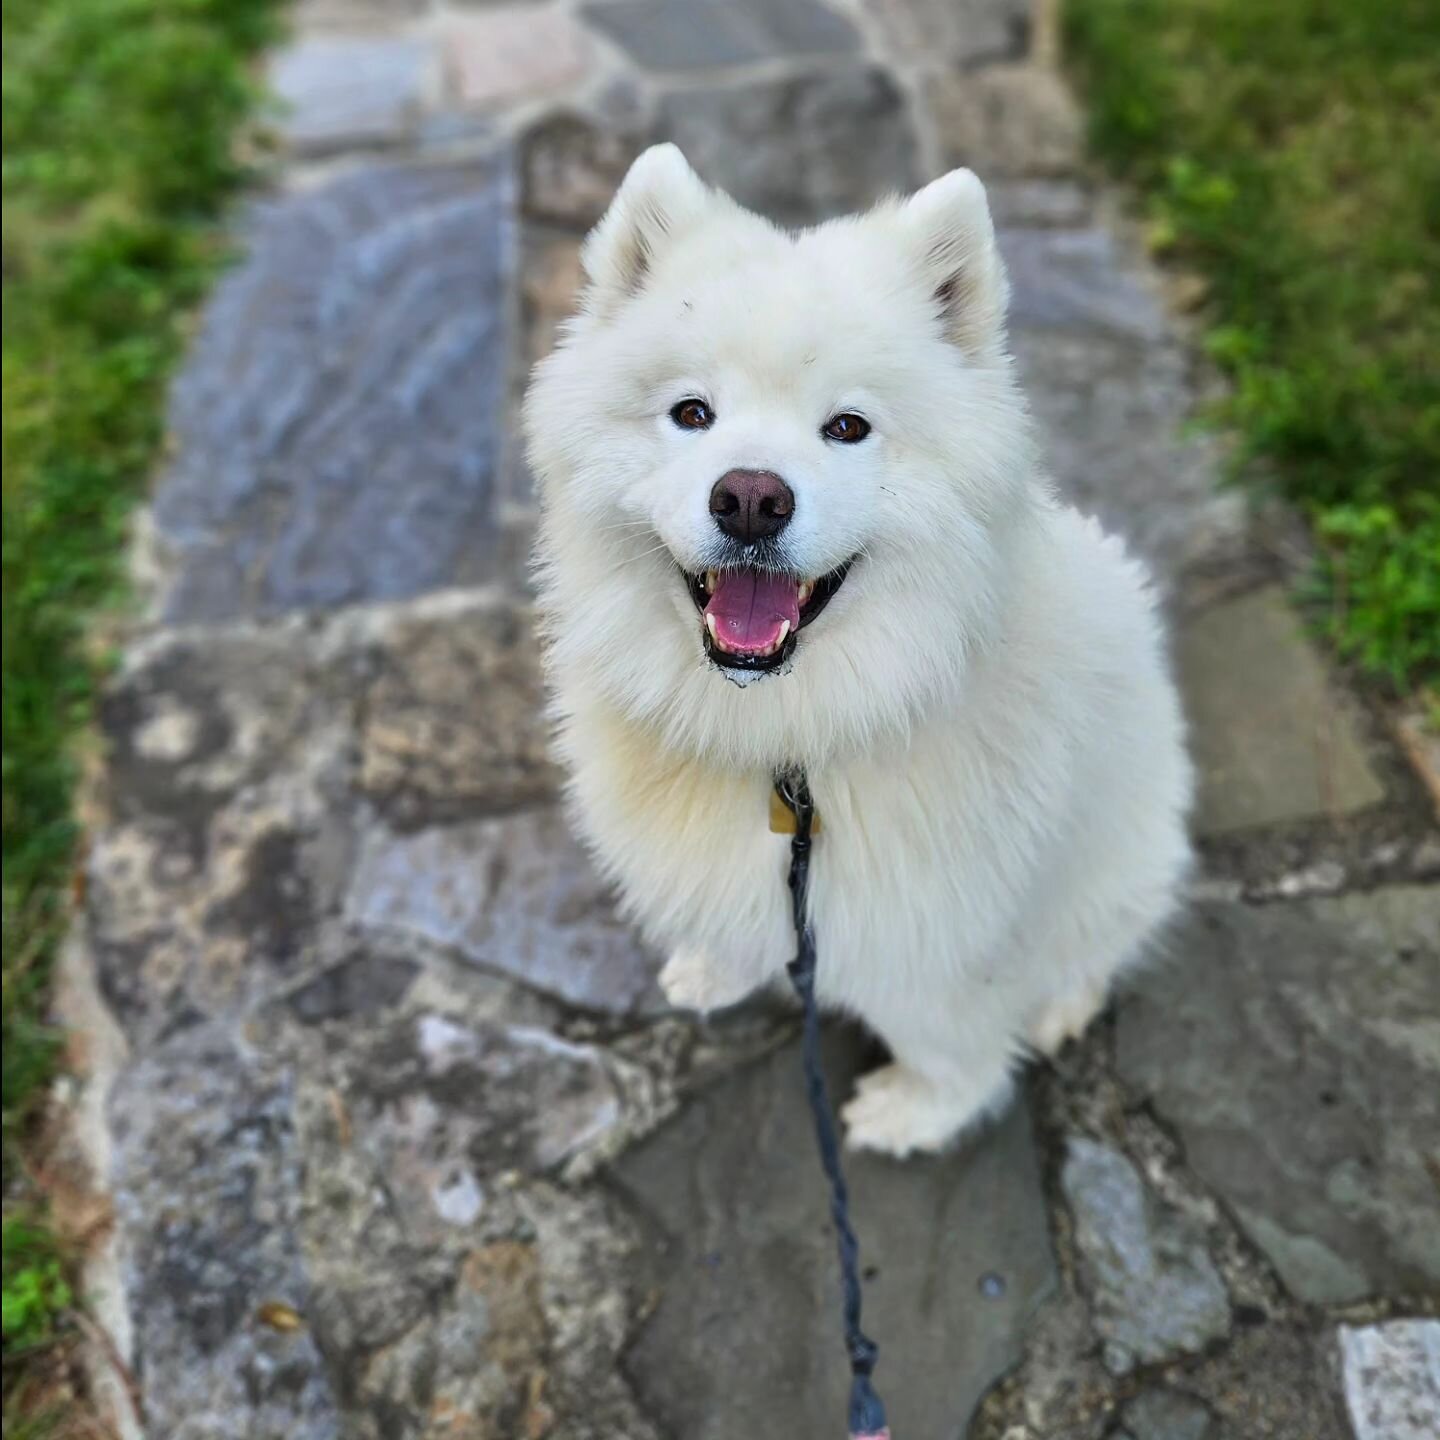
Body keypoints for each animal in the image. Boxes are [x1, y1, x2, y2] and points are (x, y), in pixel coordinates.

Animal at [524, 146, 1186, 1157]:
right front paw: (715, 970)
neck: (790, 742)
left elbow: (953, 1051)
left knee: (1092, 949)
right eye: (692, 412)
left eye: (847, 427)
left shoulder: (934, 942)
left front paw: (912, 1116)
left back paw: (1058, 1010)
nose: (750, 498)